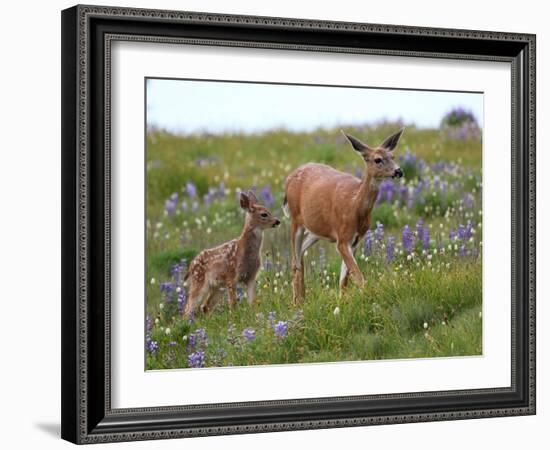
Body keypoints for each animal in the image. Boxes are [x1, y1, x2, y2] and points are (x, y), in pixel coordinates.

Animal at [284, 127, 406, 302]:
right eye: (377, 159)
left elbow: (344, 279)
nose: (399, 171)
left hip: (315, 230)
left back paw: (302, 298)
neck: (355, 206)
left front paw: (342, 302)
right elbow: (358, 276)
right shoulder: (342, 237)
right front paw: (369, 299)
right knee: (294, 260)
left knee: (300, 256)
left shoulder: (355, 239)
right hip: (295, 220)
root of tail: (288, 179)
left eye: (393, 156)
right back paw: (297, 302)